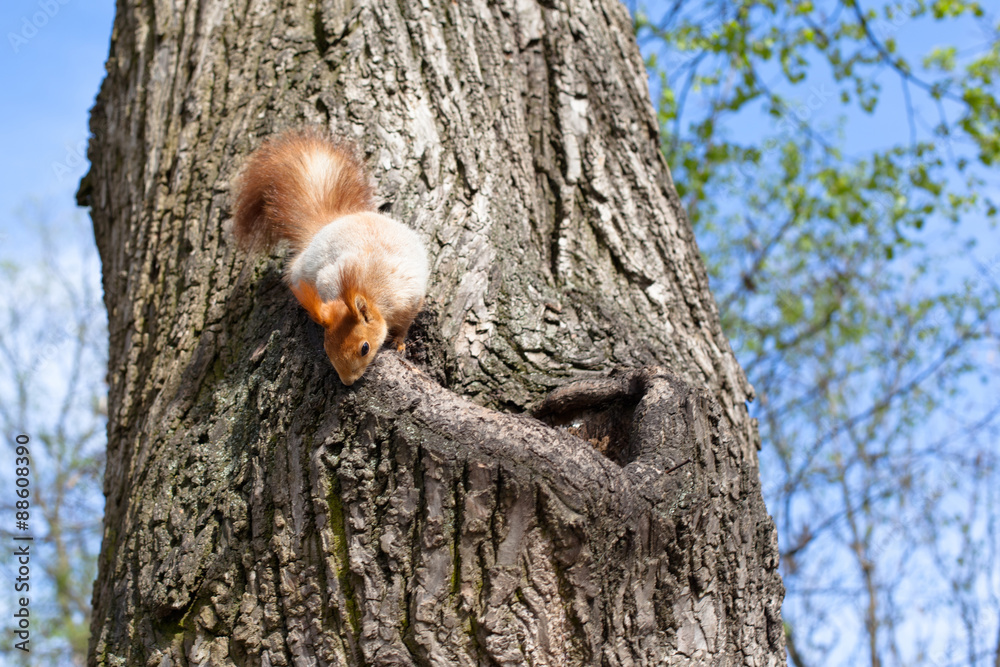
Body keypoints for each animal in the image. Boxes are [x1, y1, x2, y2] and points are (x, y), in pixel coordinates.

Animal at [232, 128, 429, 385]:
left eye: (365, 348)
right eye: (327, 349)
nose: (347, 382)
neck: (368, 291)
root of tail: (330, 223)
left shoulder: (411, 298)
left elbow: (405, 324)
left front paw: (399, 342)